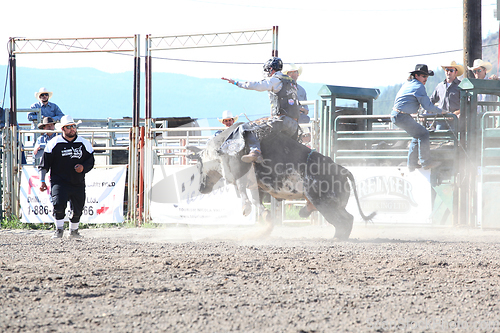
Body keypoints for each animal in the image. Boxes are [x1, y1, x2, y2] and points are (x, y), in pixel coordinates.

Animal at [188, 122, 376, 239]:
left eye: (197, 165)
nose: (201, 188)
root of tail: (342, 169)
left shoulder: (238, 170)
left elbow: (242, 191)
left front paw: (246, 209)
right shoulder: (255, 185)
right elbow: (256, 200)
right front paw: (266, 218)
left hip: (324, 201)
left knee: (344, 221)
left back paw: (336, 238)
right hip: (332, 203)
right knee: (347, 218)